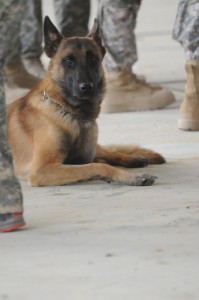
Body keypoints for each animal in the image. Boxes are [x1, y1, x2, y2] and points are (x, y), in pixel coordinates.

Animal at [6, 16, 165, 186]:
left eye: (92, 59)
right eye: (68, 61)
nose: (86, 87)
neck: (70, 112)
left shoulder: (80, 158)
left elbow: (98, 163)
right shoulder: (42, 170)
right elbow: (98, 166)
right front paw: (130, 177)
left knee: (109, 152)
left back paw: (133, 159)